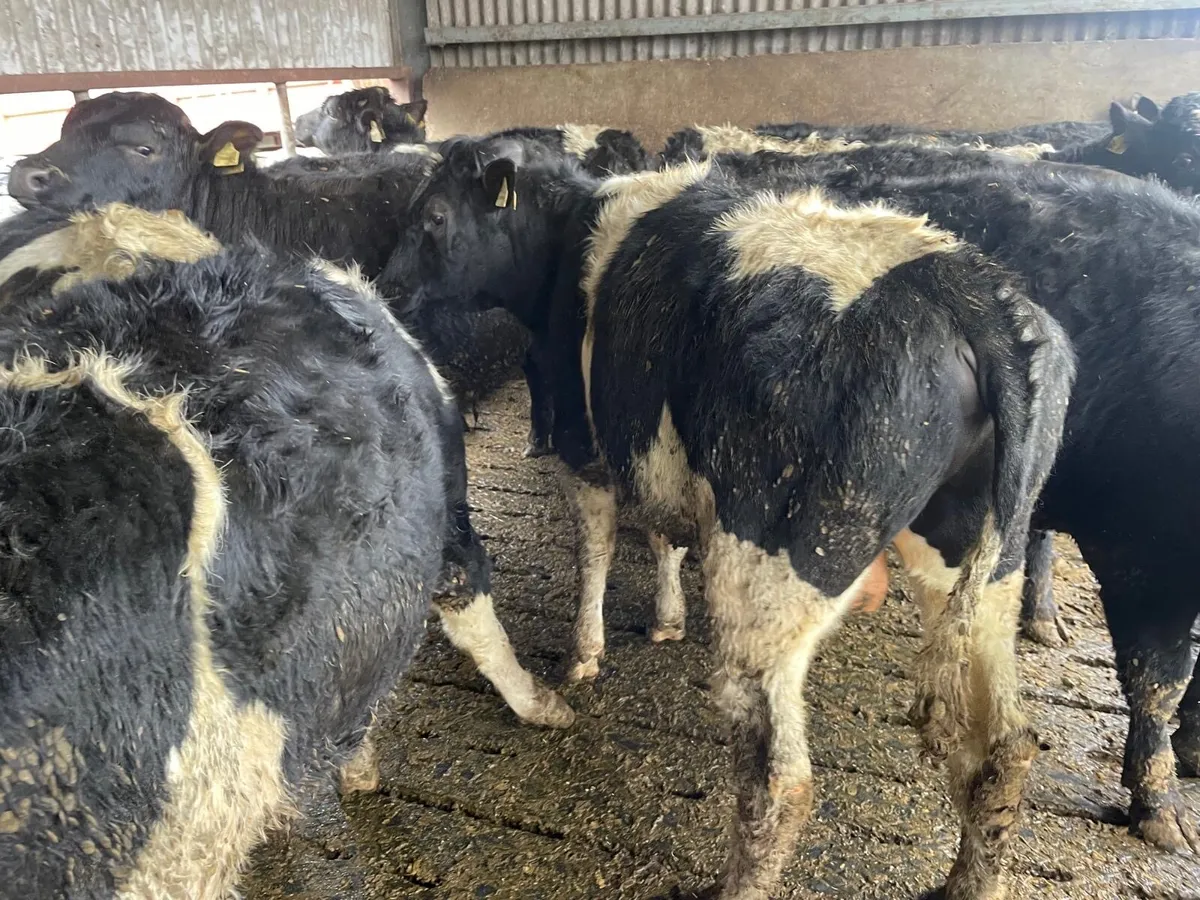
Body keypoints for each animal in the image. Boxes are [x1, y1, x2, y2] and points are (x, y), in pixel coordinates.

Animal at [390, 135, 1076, 900]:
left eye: (434, 217)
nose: (386, 285)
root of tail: (965, 292)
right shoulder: (655, 449)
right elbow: (663, 536)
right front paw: (666, 619)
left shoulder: (583, 440)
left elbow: (595, 548)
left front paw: (582, 656)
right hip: (979, 560)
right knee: (1004, 751)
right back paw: (966, 883)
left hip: (769, 571)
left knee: (780, 780)